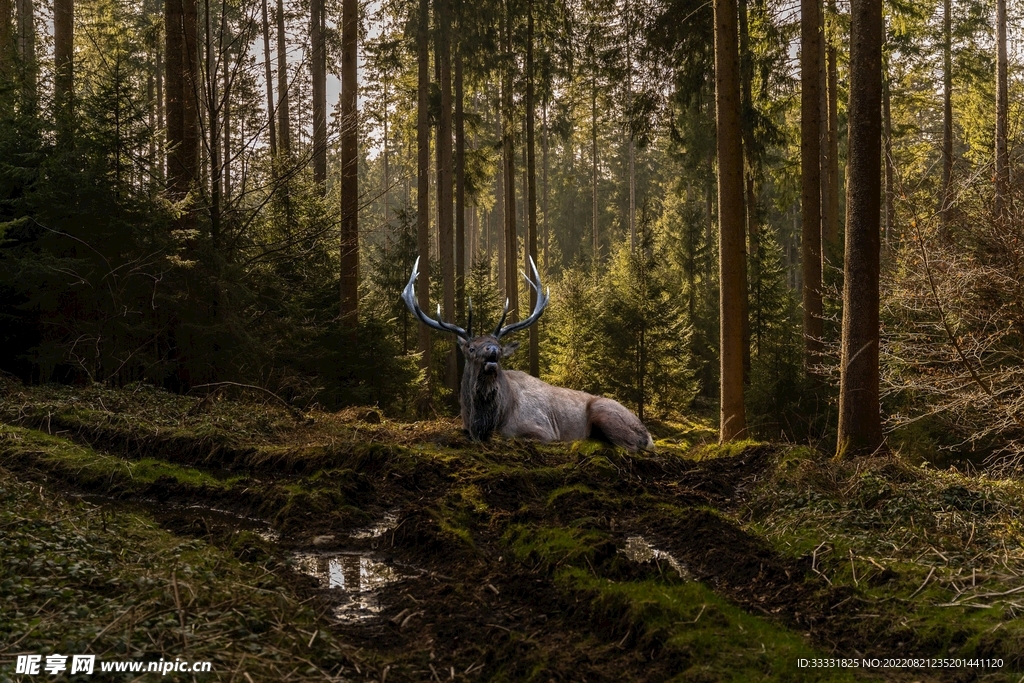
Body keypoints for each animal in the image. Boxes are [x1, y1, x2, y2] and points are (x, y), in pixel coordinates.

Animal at [402, 256, 654, 451]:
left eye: (498, 345)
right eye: (471, 348)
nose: (493, 350)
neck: (485, 422)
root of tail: (648, 434)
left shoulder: (541, 429)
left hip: (604, 412)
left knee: (631, 446)